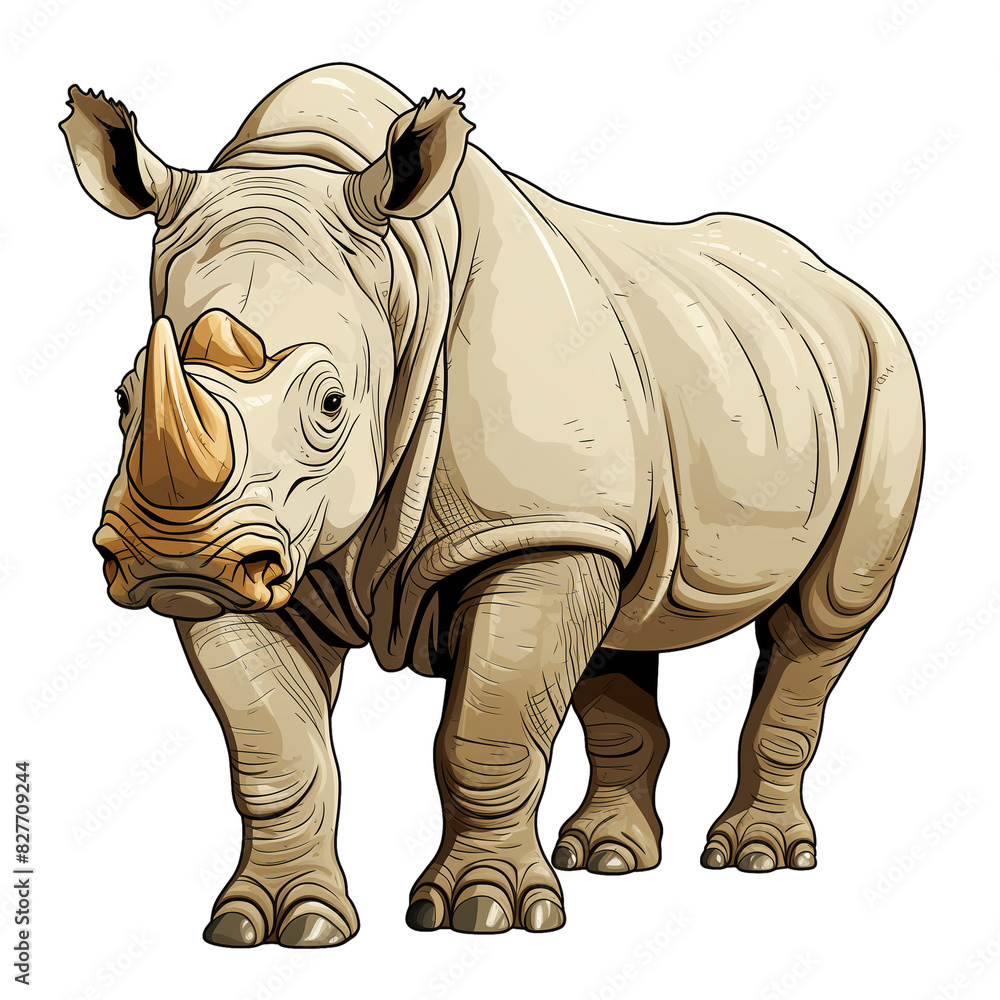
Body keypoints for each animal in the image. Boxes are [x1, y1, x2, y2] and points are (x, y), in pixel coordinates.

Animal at [60, 63, 923, 945]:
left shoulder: (528, 527)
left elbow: (489, 726)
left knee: (824, 615)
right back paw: (609, 859)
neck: (400, 278)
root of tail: (838, 281)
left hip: (885, 366)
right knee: (616, 626)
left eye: (332, 403)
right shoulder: (264, 552)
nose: (175, 558)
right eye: (123, 397)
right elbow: (275, 752)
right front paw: (272, 925)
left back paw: (758, 858)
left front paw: (485, 914)